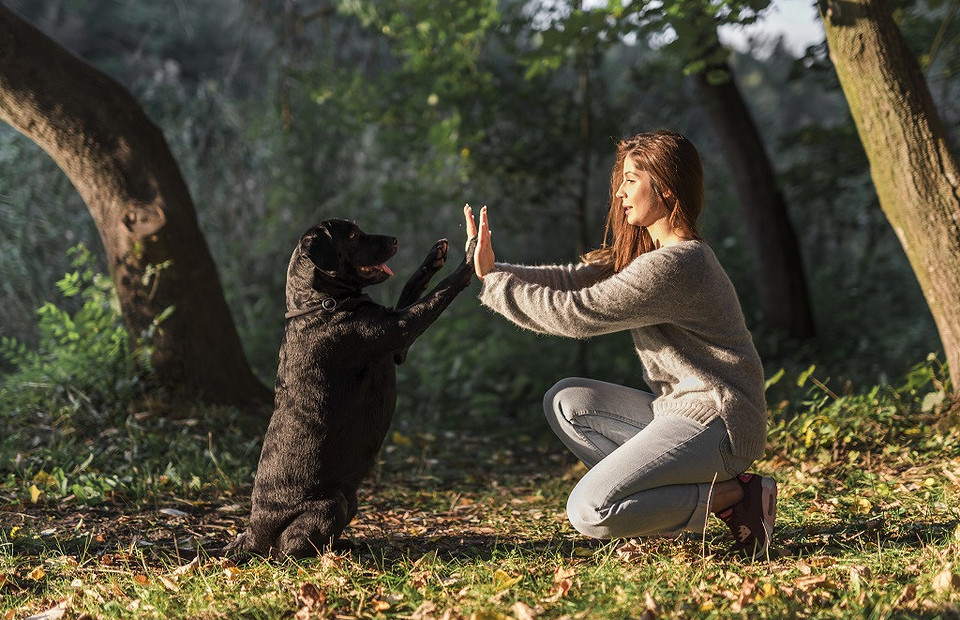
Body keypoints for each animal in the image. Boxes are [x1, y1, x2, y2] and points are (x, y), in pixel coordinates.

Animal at [229, 220, 476, 560]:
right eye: (355, 236)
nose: (394, 239)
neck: (321, 305)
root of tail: (252, 535)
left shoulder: (398, 348)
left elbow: (411, 286)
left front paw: (434, 257)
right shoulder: (401, 330)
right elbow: (439, 292)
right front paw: (470, 257)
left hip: (350, 501)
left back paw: (346, 545)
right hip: (331, 504)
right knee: (288, 550)